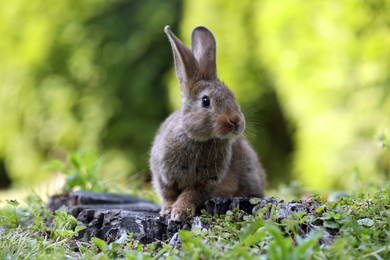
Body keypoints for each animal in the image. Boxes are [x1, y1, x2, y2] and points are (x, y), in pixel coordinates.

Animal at [149, 25, 266, 220]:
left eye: (232, 96)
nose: (236, 121)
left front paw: (180, 212)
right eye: (205, 101)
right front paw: (168, 210)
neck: (197, 139)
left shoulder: (206, 182)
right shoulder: (163, 175)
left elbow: (191, 194)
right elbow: (169, 194)